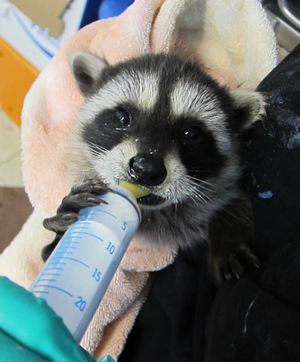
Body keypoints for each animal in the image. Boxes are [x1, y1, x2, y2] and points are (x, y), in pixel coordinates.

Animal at [42, 52, 262, 282]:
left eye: (191, 133)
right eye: (123, 117)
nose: (146, 169)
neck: (151, 214)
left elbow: (234, 203)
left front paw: (227, 234)